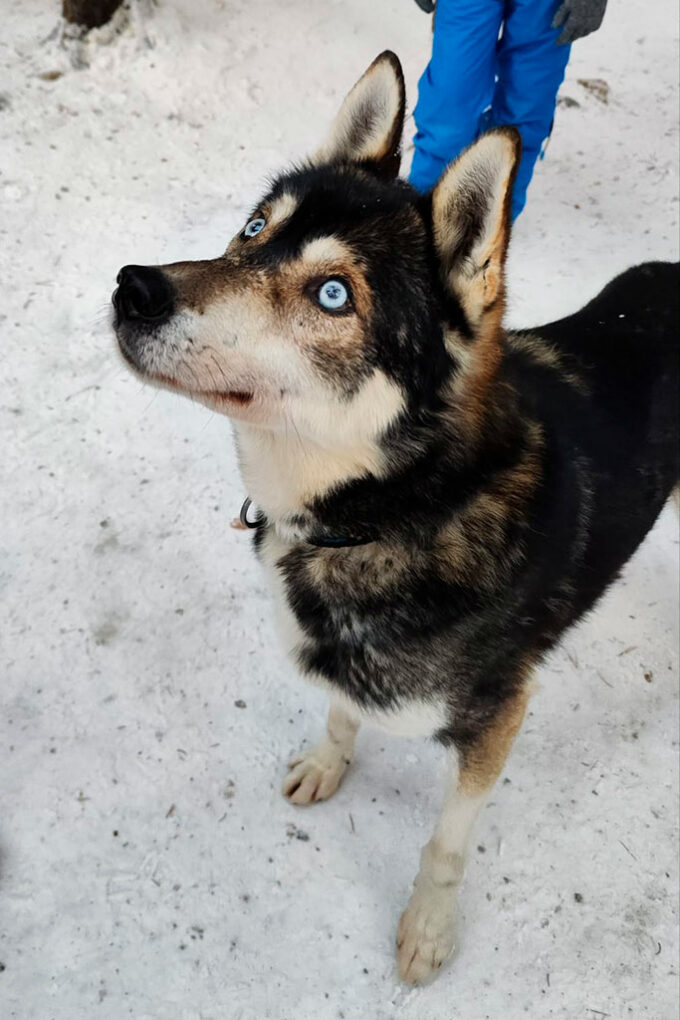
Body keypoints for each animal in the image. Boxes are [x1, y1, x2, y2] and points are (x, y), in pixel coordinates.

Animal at [113, 51, 680, 983]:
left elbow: (447, 843)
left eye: (333, 294)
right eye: (254, 227)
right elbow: (342, 711)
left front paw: (428, 928)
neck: (391, 511)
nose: (135, 288)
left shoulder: (496, 720)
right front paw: (328, 762)